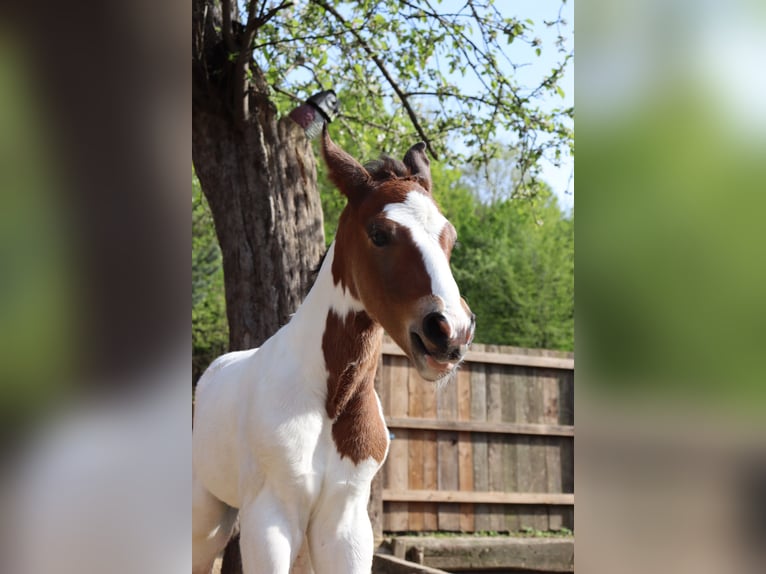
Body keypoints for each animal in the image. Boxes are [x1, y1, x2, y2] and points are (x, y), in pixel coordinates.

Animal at [192, 127, 476, 574]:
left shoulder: (345, 524)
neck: (330, 400)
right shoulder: (270, 520)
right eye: (379, 233)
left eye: (450, 237)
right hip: (206, 518)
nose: (450, 331)